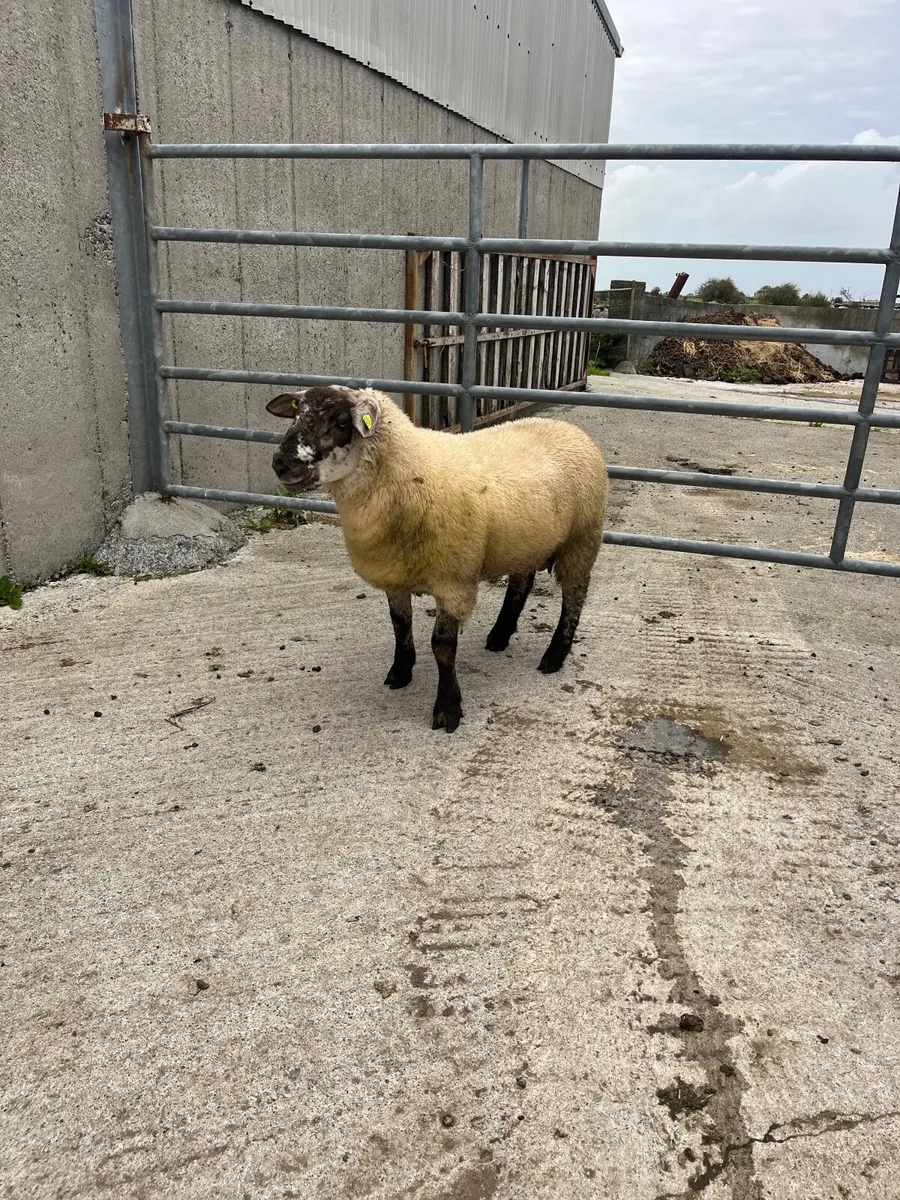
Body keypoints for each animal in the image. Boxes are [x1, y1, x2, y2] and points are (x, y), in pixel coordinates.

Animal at [266, 385, 607, 732]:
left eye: (340, 422)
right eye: (296, 413)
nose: (281, 465)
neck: (409, 471)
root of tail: (570, 429)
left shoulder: (453, 580)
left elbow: (442, 645)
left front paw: (447, 709)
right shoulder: (395, 573)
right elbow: (400, 624)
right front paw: (400, 672)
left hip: (582, 539)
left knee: (574, 596)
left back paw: (555, 655)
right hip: (526, 540)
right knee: (522, 581)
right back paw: (500, 634)